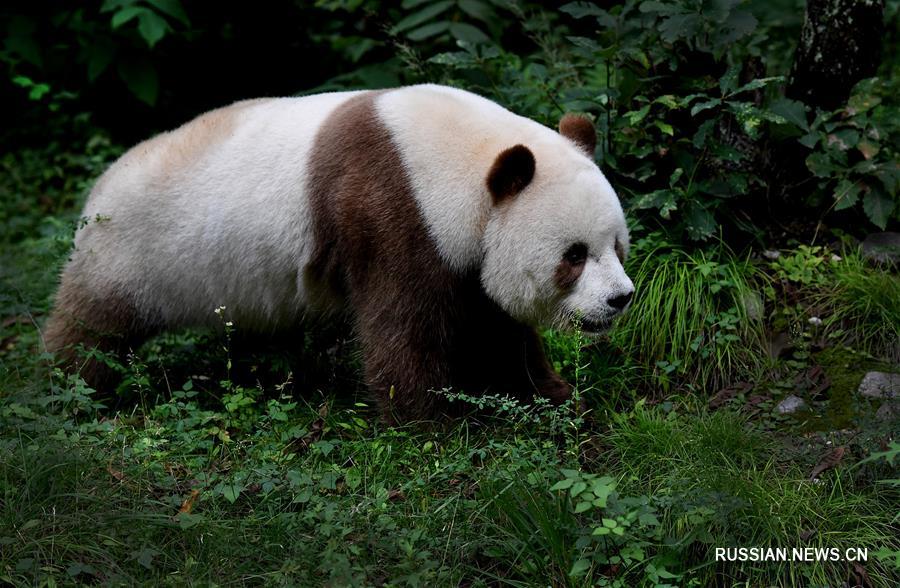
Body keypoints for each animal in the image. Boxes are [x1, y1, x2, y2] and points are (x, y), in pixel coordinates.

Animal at [44, 84, 632, 422]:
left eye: (617, 245)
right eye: (573, 256)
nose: (620, 300)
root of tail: (97, 190)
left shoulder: (464, 245)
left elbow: (498, 326)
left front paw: (558, 397)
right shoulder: (391, 209)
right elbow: (403, 326)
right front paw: (431, 422)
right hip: (130, 252)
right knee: (93, 328)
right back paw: (69, 393)